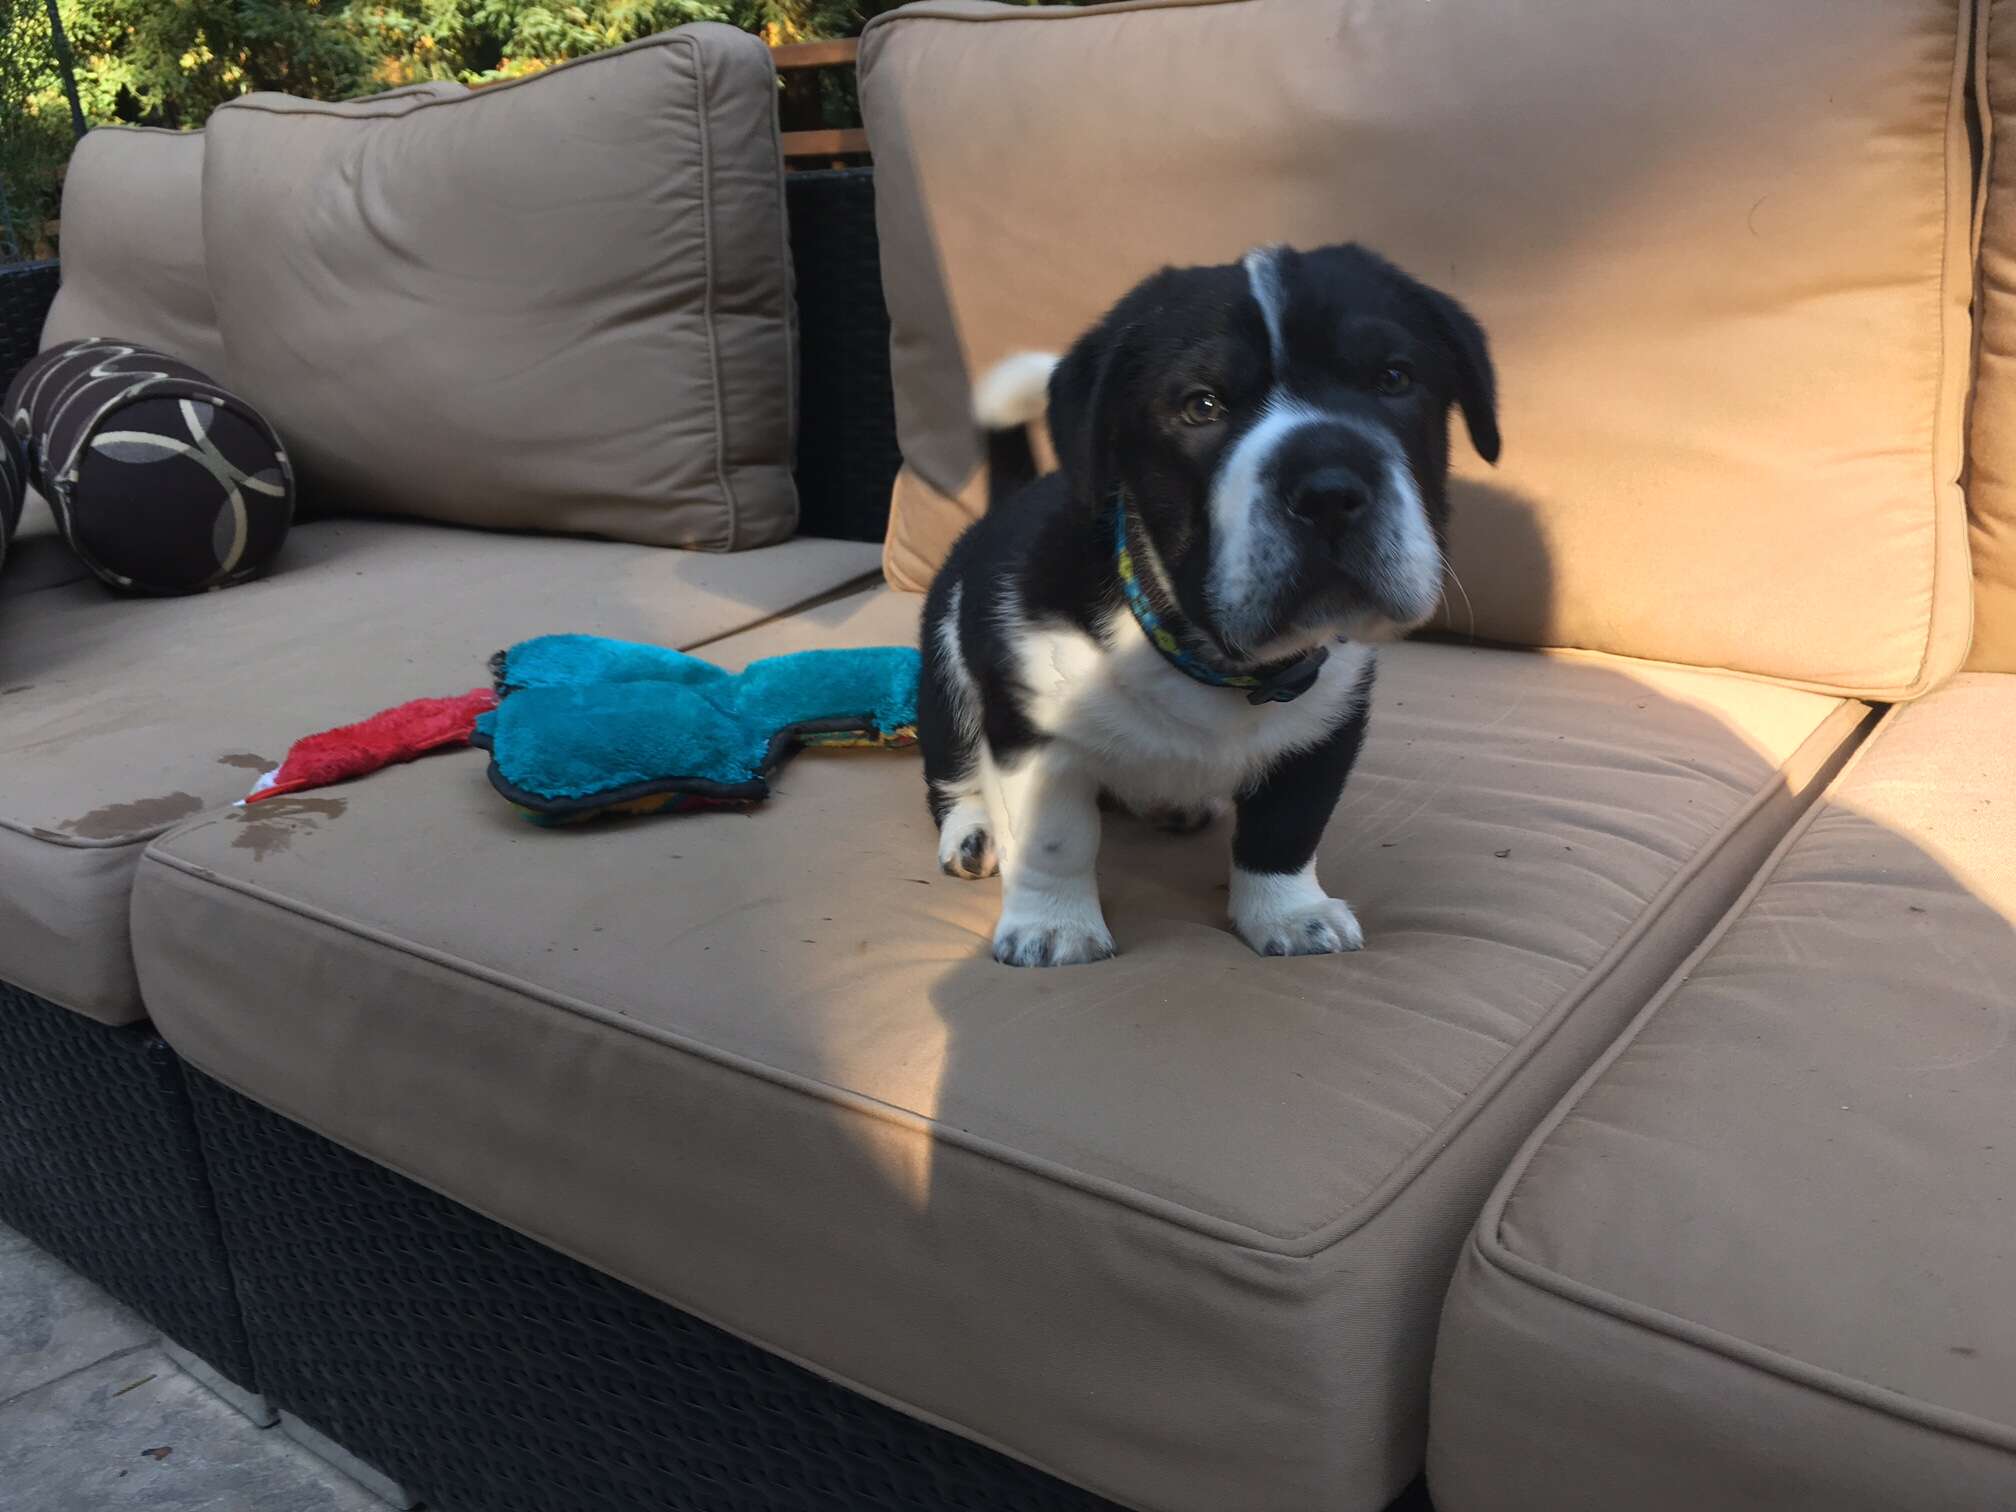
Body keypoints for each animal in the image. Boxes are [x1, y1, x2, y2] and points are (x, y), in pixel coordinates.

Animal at [915, 240, 1499, 963]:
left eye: (1394, 379)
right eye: (1202, 406)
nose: (1329, 490)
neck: (1214, 659)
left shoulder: (1326, 725)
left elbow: (1287, 828)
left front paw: (1289, 912)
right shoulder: (1030, 726)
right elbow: (1054, 836)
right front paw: (1054, 924)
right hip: (946, 667)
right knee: (951, 767)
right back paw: (972, 827)